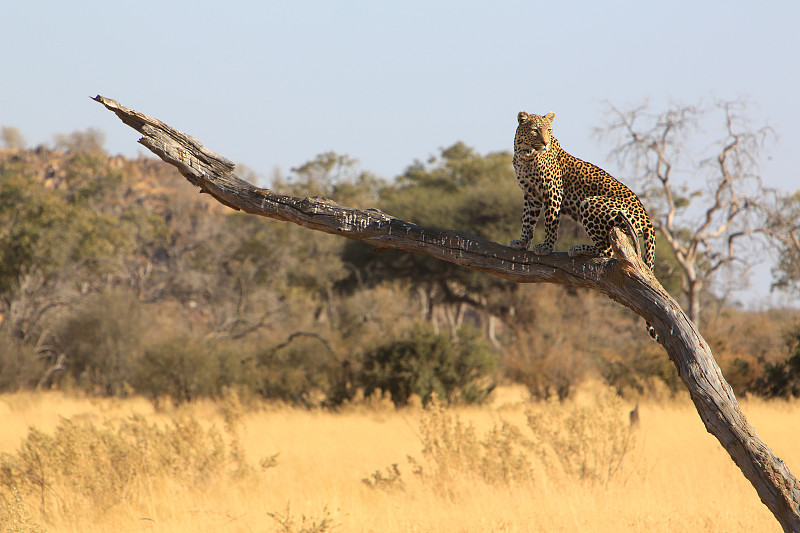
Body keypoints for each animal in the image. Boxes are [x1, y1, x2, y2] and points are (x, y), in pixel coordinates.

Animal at [512, 110, 656, 338]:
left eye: (549, 130)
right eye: (535, 130)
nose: (545, 142)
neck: (525, 154)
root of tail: (647, 218)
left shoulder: (553, 191)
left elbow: (551, 221)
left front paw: (546, 247)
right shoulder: (531, 195)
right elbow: (527, 220)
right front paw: (522, 242)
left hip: (591, 203)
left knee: (606, 250)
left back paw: (578, 249)